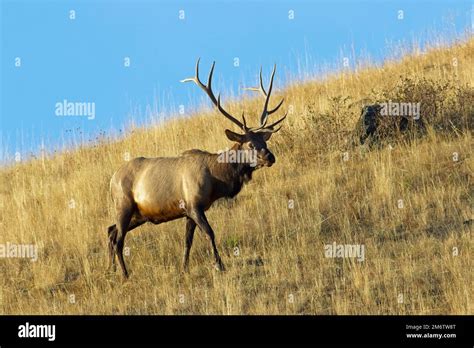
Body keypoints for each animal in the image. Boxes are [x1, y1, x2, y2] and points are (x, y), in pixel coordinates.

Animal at [106, 58, 286, 278]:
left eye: (265, 141)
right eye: (251, 144)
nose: (270, 157)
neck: (216, 180)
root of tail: (112, 180)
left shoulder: (188, 212)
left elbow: (188, 241)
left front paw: (184, 268)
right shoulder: (194, 205)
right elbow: (210, 233)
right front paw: (219, 265)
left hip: (139, 214)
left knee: (111, 231)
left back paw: (110, 270)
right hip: (123, 204)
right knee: (118, 239)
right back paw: (125, 274)